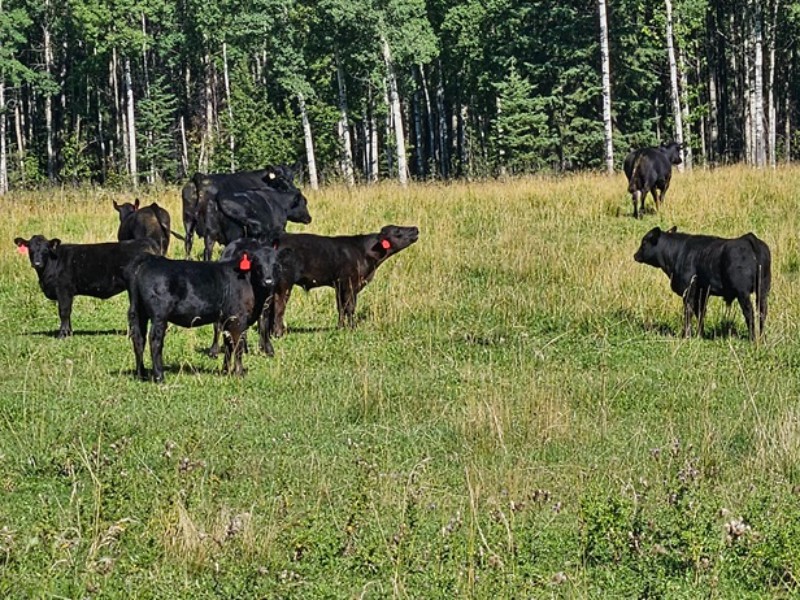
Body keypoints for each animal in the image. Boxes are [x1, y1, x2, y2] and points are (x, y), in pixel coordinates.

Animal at [13, 235, 159, 338]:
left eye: (45, 250)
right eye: (30, 249)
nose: (37, 263)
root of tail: (145, 241)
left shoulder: (64, 289)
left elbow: (64, 311)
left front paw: (62, 334)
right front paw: (69, 332)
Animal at [126, 240, 279, 382]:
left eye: (275, 264)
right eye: (257, 263)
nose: (269, 281)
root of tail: (149, 259)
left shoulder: (226, 319)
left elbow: (228, 346)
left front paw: (225, 371)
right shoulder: (238, 319)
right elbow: (238, 346)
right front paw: (239, 373)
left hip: (138, 311)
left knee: (138, 339)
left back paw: (142, 374)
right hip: (159, 316)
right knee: (155, 341)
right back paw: (159, 376)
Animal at [269, 225, 420, 337]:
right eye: (397, 231)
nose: (415, 228)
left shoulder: (340, 285)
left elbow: (341, 307)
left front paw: (341, 327)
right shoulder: (350, 283)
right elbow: (350, 307)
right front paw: (352, 328)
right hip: (284, 283)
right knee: (279, 306)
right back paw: (279, 333)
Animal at [633, 226, 771, 341]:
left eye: (644, 242)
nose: (635, 255)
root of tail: (748, 238)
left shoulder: (689, 290)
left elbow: (688, 311)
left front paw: (686, 335)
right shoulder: (703, 291)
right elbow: (701, 312)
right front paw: (700, 335)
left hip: (743, 292)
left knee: (749, 313)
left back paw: (753, 338)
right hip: (763, 290)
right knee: (762, 312)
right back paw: (762, 338)